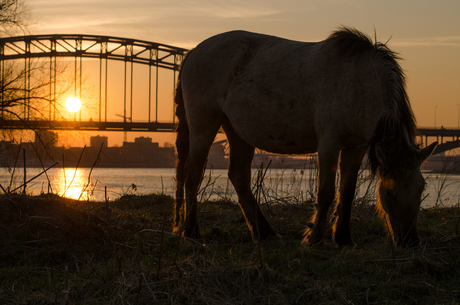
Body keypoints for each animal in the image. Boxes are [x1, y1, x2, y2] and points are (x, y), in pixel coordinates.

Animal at [172, 27, 434, 247]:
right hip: (204, 125)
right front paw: (315, 239)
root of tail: (193, 52)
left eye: (421, 188)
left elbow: (347, 192)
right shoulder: (329, 143)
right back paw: (192, 231)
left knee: (238, 177)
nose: (411, 240)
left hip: (237, 132)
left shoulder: (356, 146)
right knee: (193, 173)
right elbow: (326, 192)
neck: (357, 83)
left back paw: (266, 234)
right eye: (389, 192)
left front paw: (343, 239)